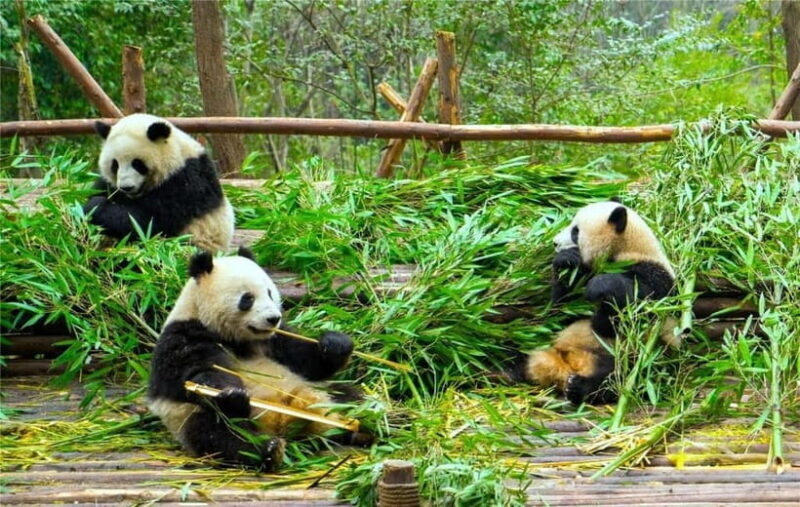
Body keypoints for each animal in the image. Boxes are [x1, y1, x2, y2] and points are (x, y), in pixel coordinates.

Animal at [84, 114, 234, 253]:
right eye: (115, 164)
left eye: (137, 163)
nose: (127, 187)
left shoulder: (185, 183)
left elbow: (148, 223)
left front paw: (95, 206)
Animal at [147, 248, 372, 470]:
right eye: (247, 298)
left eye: (270, 293)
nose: (273, 318)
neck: (236, 339)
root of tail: (283, 421)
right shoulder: (183, 335)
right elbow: (192, 376)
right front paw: (230, 394)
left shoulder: (274, 339)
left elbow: (305, 361)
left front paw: (335, 344)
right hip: (189, 418)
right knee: (221, 435)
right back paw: (268, 448)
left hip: (321, 391)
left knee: (351, 397)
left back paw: (363, 425)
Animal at [520, 200, 677, 405]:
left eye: (576, 231)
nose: (555, 243)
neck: (627, 249)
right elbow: (560, 312)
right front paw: (566, 259)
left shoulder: (657, 279)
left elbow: (626, 314)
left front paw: (599, 287)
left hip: (639, 353)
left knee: (620, 375)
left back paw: (579, 387)